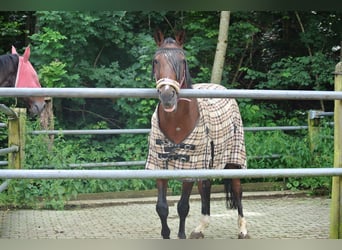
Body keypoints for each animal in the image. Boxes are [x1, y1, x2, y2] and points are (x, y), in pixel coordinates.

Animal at [145, 30, 248, 239]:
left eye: (182, 60)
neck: (177, 123)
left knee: (237, 189)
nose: (167, 96)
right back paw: (200, 227)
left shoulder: (189, 167)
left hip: (234, 159)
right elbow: (162, 207)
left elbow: (183, 206)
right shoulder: (159, 164)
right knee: (205, 188)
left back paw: (242, 229)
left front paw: (181, 235)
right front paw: (166, 234)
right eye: (156, 61)